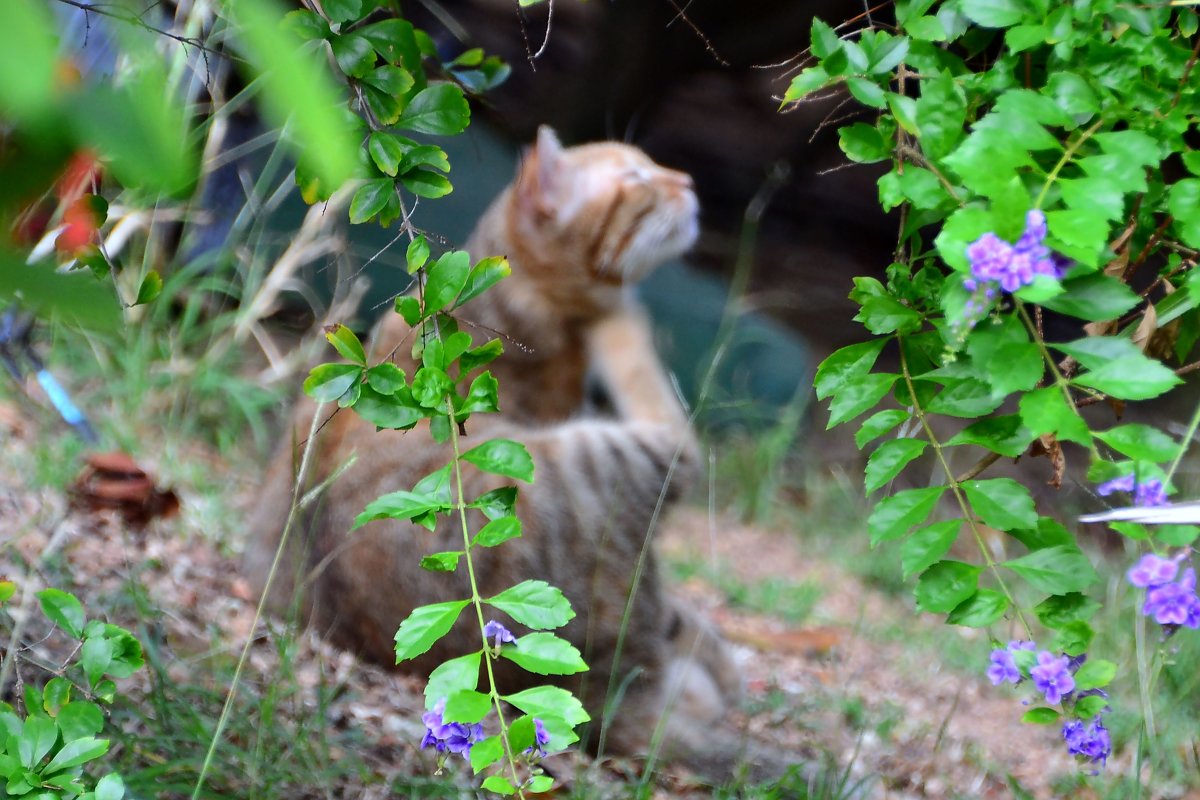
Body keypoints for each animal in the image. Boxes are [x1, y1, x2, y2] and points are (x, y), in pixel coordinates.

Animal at [240, 130, 753, 777]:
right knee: (671, 430)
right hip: (620, 456)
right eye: (635, 177)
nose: (685, 181)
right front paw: (613, 304)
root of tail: (607, 698)